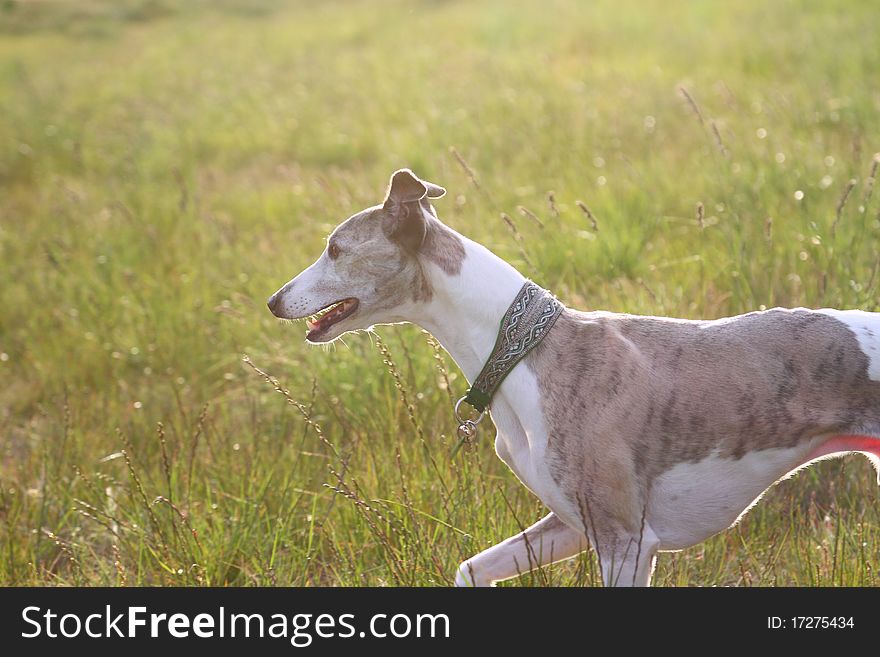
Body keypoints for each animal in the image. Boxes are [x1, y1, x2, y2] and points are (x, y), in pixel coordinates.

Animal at [264, 168, 880, 584]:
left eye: (334, 248)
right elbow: (470, 568)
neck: (522, 350)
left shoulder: (625, 541)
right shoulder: (569, 525)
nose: (272, 301)